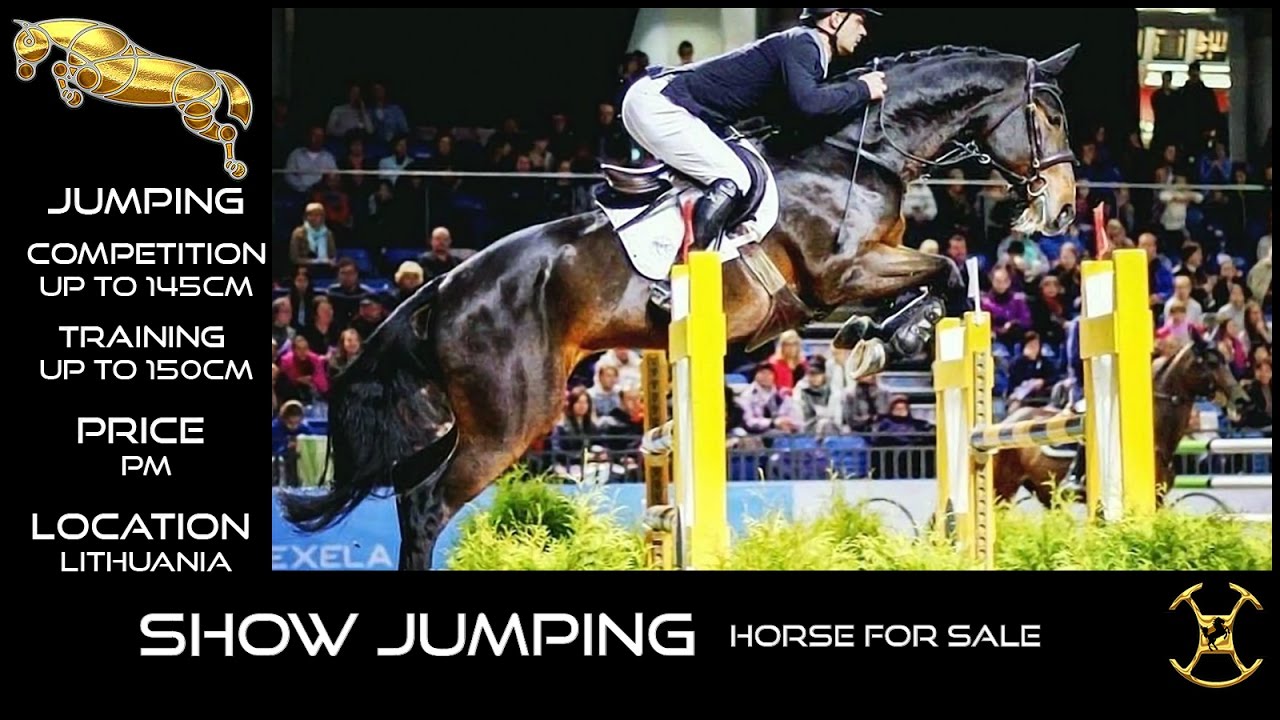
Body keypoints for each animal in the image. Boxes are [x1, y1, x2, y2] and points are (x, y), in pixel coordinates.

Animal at [13, 19, 252, 180]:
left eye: (27, 42)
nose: (24, 73)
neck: (87, 42)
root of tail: (215, 75)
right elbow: (59, 67)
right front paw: (71, 97)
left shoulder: (93, 80)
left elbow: (60, 68)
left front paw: (70, 95)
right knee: (227, 132)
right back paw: (236, 168)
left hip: (196, 117)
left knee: (226, 132)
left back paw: (234, 167)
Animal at [279, 44, 1082, 570]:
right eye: (1047, 116)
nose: (1066, 207)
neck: (857, 149)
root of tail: (442, 290)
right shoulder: (840, 271)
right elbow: (945, 270)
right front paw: (881, 338)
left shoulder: (870, 262)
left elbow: (938, 278)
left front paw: (876, 337)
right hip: (512, 417)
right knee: (426, 503)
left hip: (475, 417)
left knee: (407, 490)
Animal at [993, 328, 1251, 509]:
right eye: (1211, 362)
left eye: (1226, 360)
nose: (1242, 400)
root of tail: (1007, 420)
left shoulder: (1158, 498)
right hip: (1002, 489)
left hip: (1044, 494)